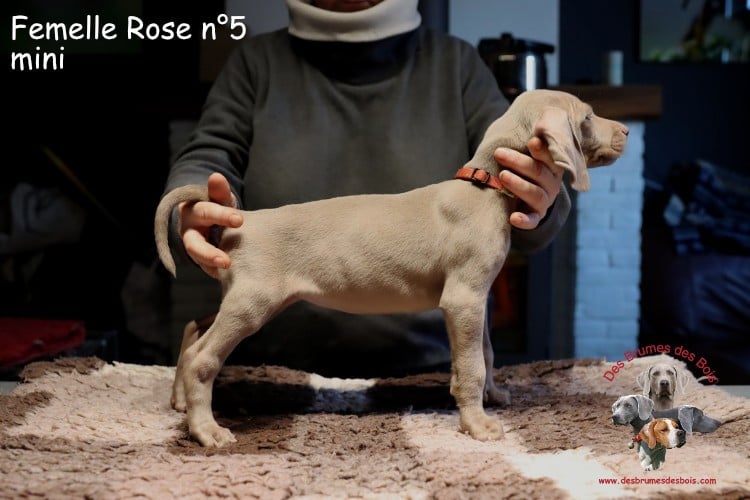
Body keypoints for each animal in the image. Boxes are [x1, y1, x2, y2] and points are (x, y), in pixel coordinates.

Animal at [155, 89, 628, 447]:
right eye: (588, 117)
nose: (626, 131)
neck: (486, 187)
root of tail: (245, 219)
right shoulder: (463, 299)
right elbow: (472, 365)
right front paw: (477, 425)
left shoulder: (477, 300)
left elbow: (486, 354)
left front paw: (492, 396)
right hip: (253, 302)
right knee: (203, 358)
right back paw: (207, 430)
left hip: (241, 295)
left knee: (193, 330)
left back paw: (180, 403)